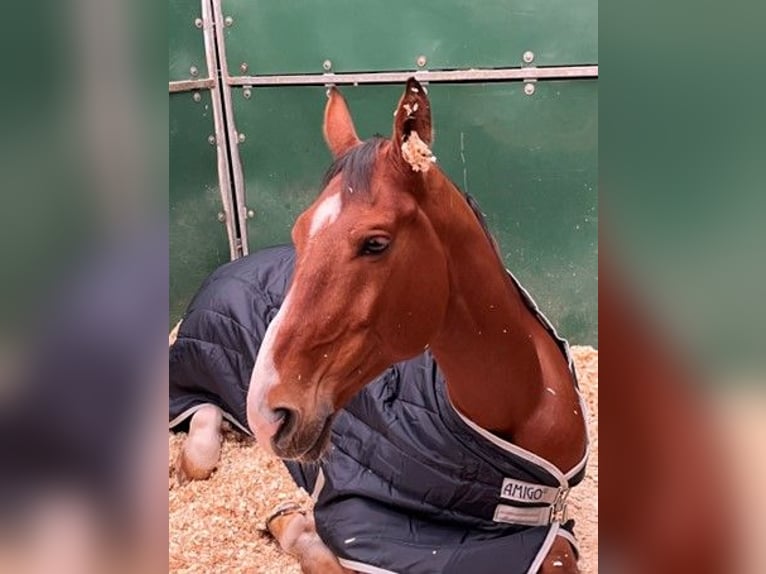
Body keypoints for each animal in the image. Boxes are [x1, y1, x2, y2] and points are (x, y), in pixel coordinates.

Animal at [178, 80, 588, 574]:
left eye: (375, 243)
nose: (265, 411)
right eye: (299, 233)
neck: (526, 402)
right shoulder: (369, 519)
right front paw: (293, 524)